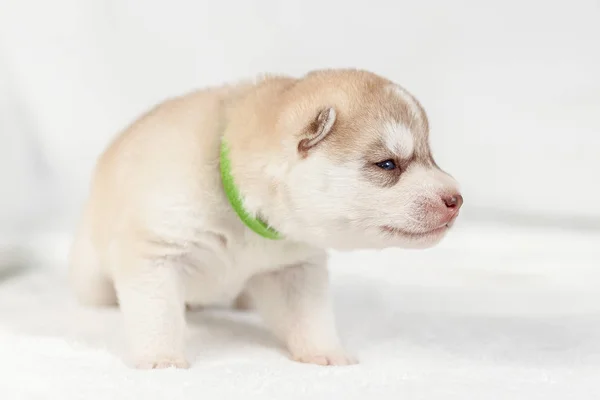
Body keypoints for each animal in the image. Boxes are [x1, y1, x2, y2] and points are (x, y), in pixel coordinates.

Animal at [69, 68, 464, 368]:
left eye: (431, 157)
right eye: (387, 164)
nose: (456, 200)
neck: (244, 215)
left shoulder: (295, 268)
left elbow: (311, 317)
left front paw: (325, 352)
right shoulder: (156, 253)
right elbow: (159, 314)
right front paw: (162, 360)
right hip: (92, 274)